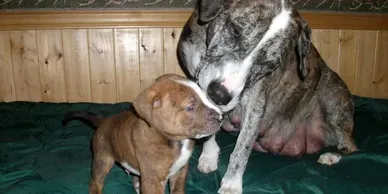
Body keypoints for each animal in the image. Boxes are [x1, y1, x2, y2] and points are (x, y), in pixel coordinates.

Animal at [62, 74, 223, 194]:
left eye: (206, 96)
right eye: (190, 107)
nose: (221, 117)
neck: (174, 141)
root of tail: (103, 121)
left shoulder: (180, 172)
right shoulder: (153, 181)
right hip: (102, 159)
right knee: (95, 182)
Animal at [177, 0, 360, 193]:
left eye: (268, 63)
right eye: (235, 30)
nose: (218, 94)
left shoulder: (255, 102)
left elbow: (242, 147)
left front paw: (231, 185)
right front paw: (209, 154)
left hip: (332, 99)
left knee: (351, 146)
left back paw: (331, 156)